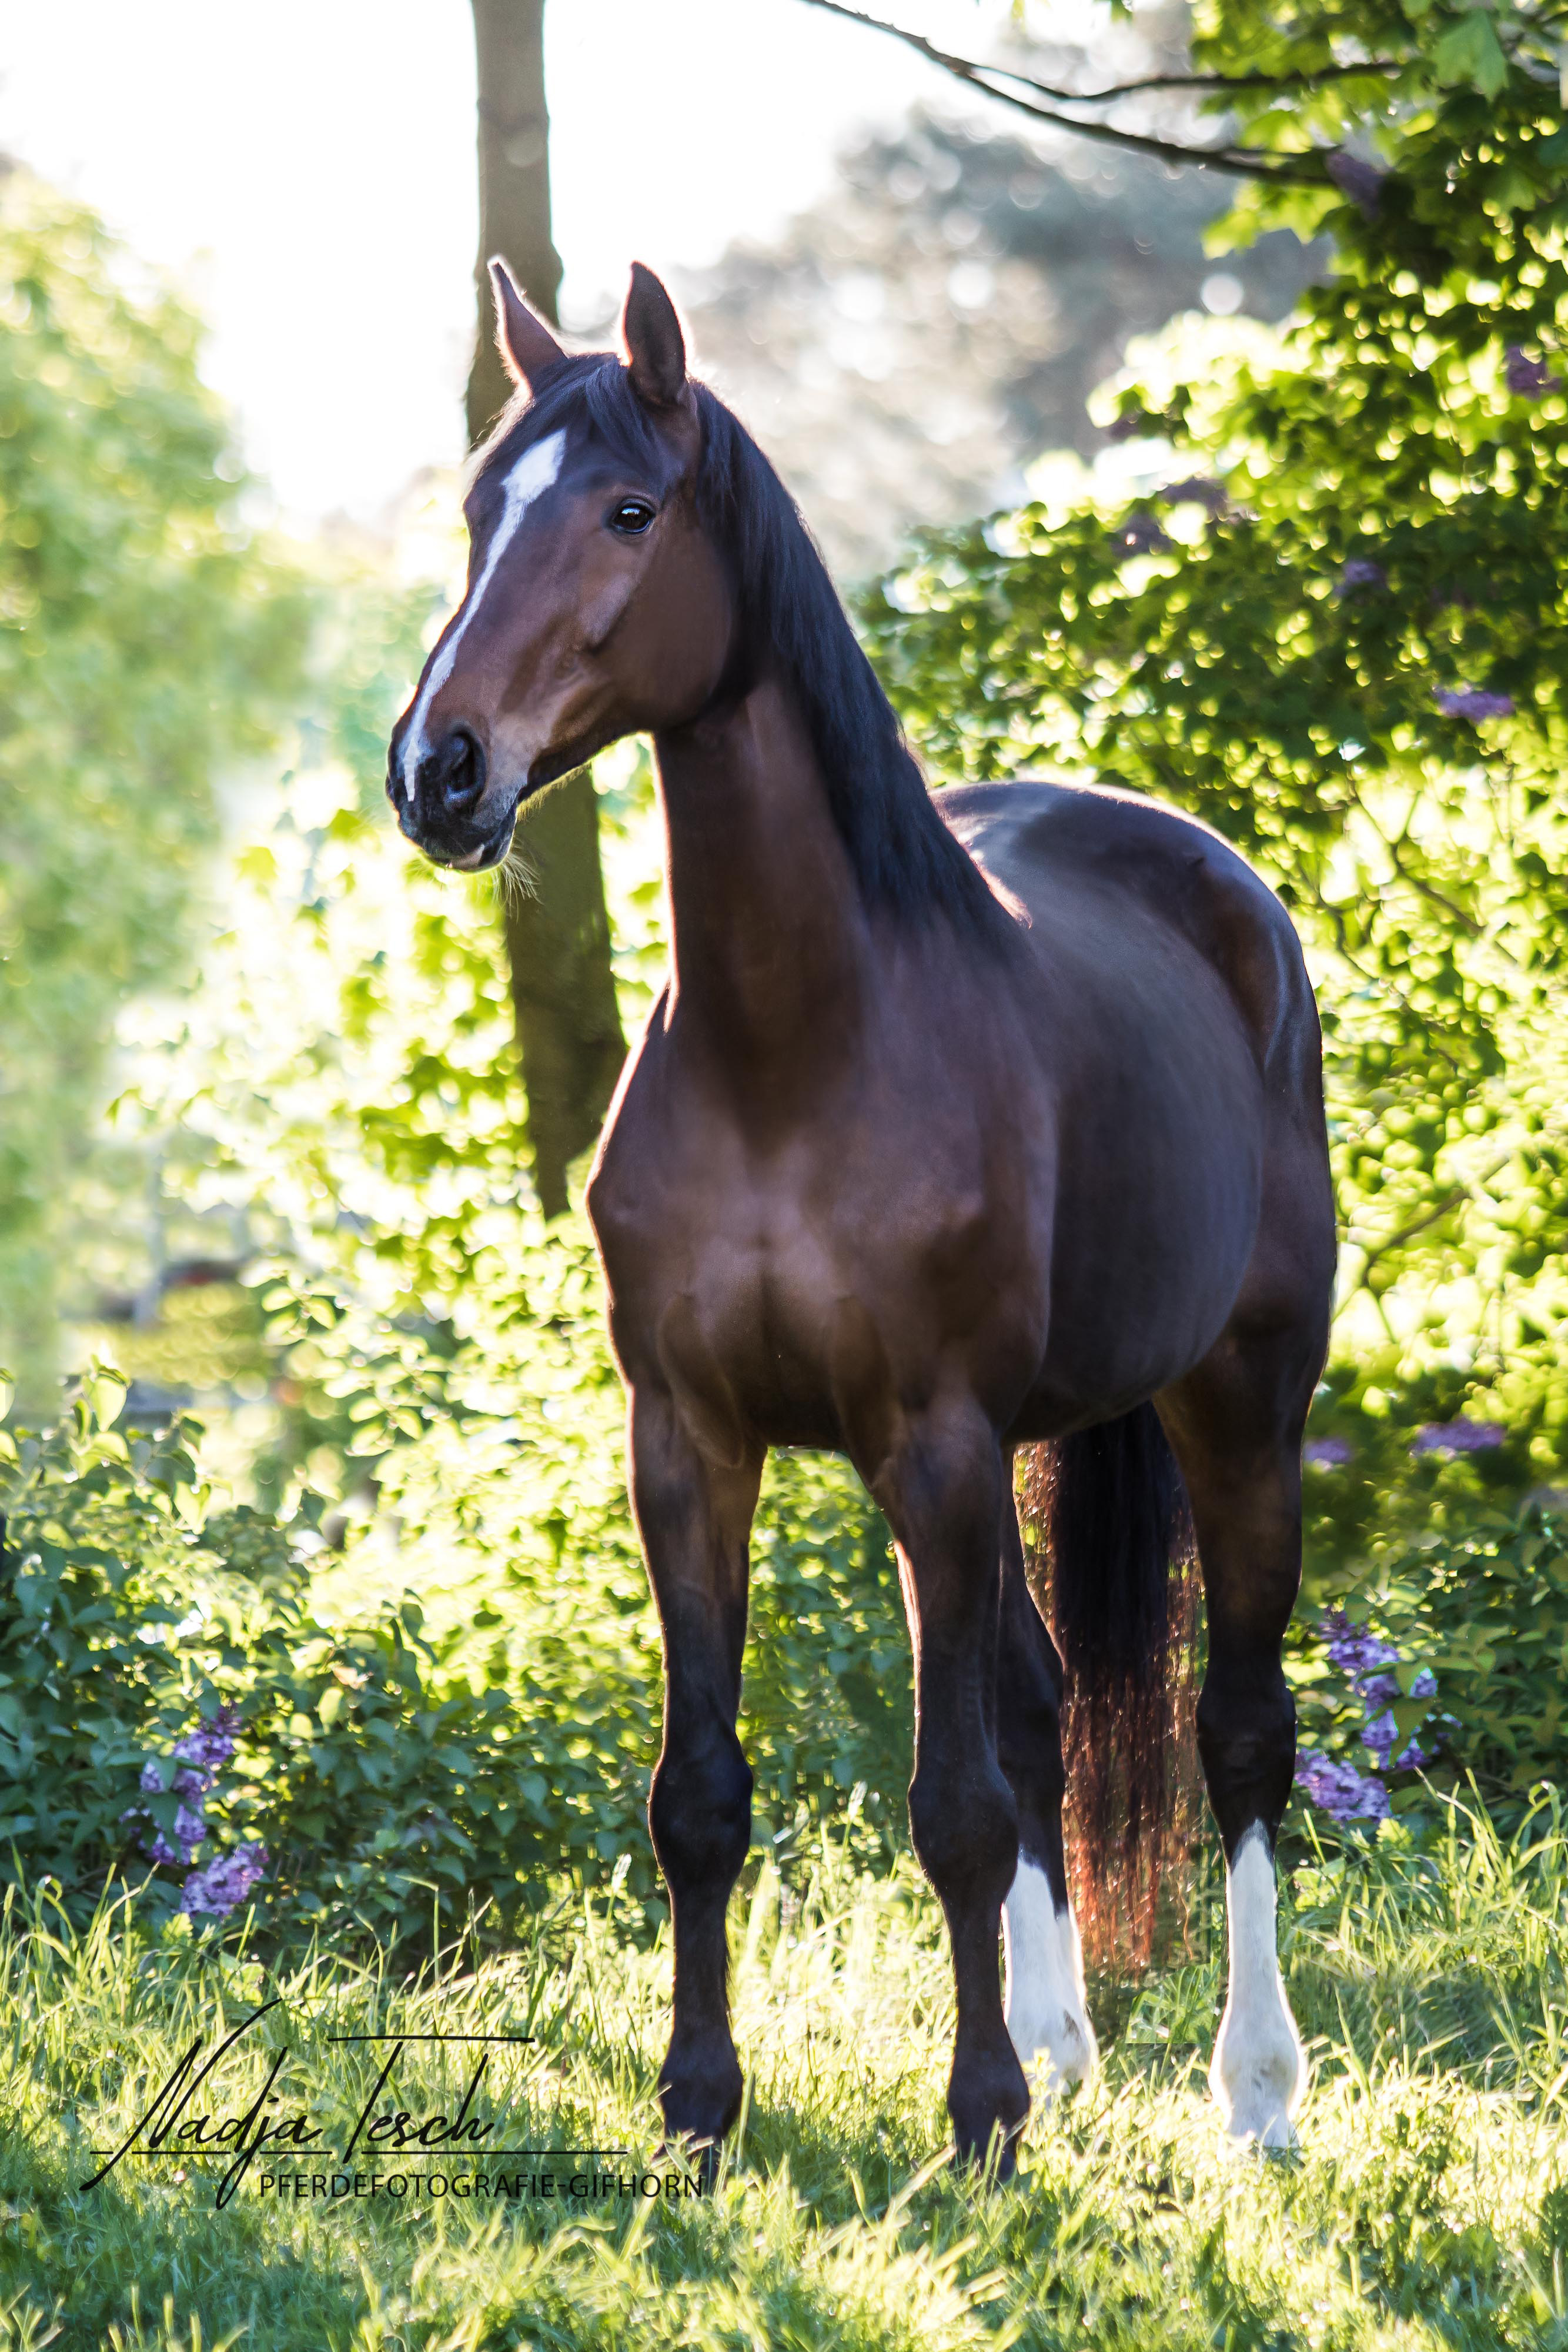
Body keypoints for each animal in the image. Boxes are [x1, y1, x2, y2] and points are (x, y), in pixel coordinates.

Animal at [390, 258, 1335, 2164]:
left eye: (628, 509)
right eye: (476, 508)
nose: (440, 771)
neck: (795, 1051)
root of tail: (1224, 895)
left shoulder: (937, 1439)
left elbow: (951, 1798)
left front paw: (975, 2121)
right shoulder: (688, 1441)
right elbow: (701, 1791)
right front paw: (698, 2107)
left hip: (1240, 1400)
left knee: (1237, 1727)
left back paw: (1254, 2089)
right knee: (1050, 1713)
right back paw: (1060, 2037)